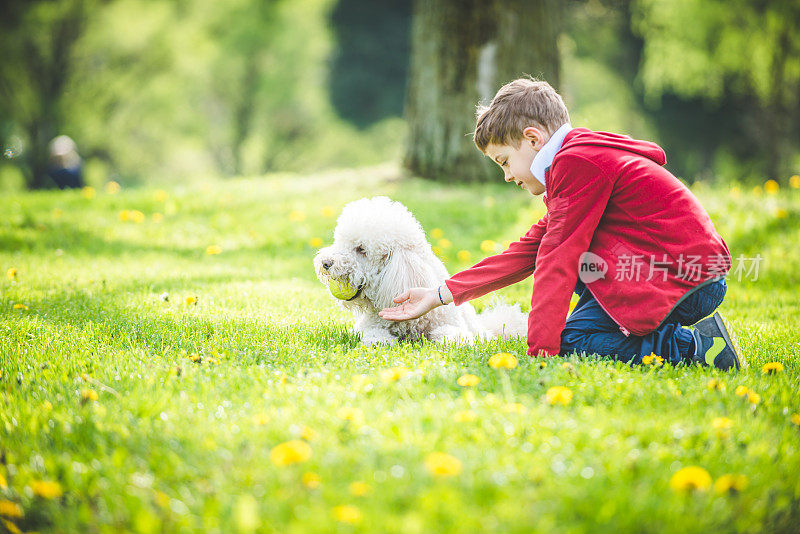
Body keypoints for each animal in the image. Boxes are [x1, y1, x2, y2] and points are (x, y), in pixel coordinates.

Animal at [310, 197, 524, 348]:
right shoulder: (369, 326)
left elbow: (454, 335)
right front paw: (380, 341)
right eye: (339, 242)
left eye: (361, 249)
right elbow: (374, 335)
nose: (326, 263)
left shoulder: (453, 325)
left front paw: (449, 340)